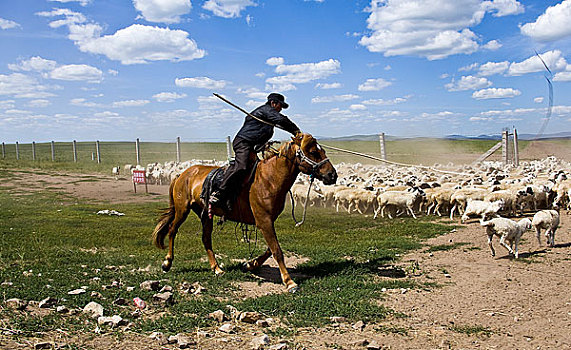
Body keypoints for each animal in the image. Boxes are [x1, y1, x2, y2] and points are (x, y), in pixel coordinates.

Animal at [153, 133, 340, 292]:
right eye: (314, 152)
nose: (332, 175)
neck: (270, 178)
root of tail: (182, 174)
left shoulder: (266, 221)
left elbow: (270, 248)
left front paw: (250, 265)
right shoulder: (264, 220)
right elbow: (277, 250)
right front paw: (289, 282)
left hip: (205, 214)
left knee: (206, 239)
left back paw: (217, 269)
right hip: (182, 210)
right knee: (172, 230)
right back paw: (167, 262)